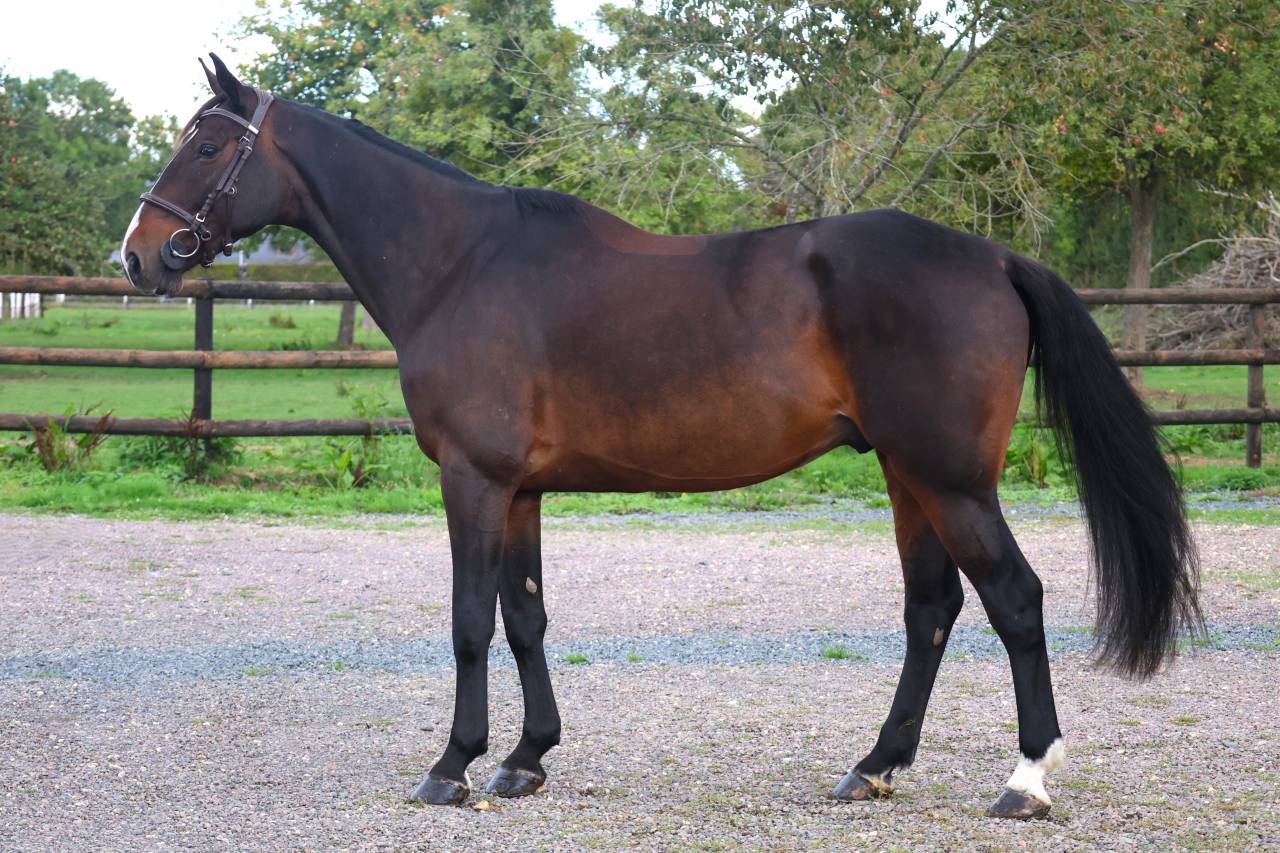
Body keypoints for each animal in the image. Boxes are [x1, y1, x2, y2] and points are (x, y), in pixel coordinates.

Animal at [121, 55, 1201, 819]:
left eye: (206, 147)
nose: (138, 255)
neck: (459, 264)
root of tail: (992, 257)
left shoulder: (473, 479)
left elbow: (470, 619)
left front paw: (452, 765)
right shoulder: (520, 489)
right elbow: (525, 617)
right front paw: (525, 759)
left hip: (951, 480)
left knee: (1014, 600)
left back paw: (1024, 781)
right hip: (909, 477)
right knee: (931, 608)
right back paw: (873, 766)